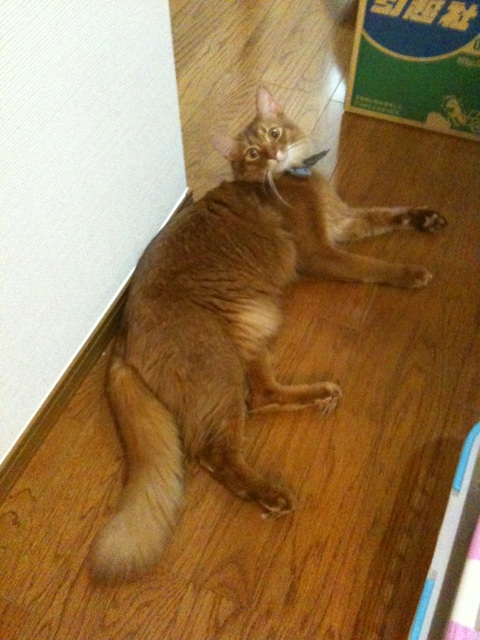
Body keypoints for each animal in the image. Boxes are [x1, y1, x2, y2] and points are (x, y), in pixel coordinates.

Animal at [89, 85, 446, 583]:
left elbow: (385, 212)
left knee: (261, 395)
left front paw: (424, 217)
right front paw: (410, 273)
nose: (275, 153)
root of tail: (121, 335)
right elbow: (373, 267)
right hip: (218, 359)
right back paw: (269, 492)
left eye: (273, 133)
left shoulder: (345, 221)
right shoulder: (321, 253)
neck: (292, 180)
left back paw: (318, 395)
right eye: (254, 153)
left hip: (252, 327)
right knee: (214, 449)